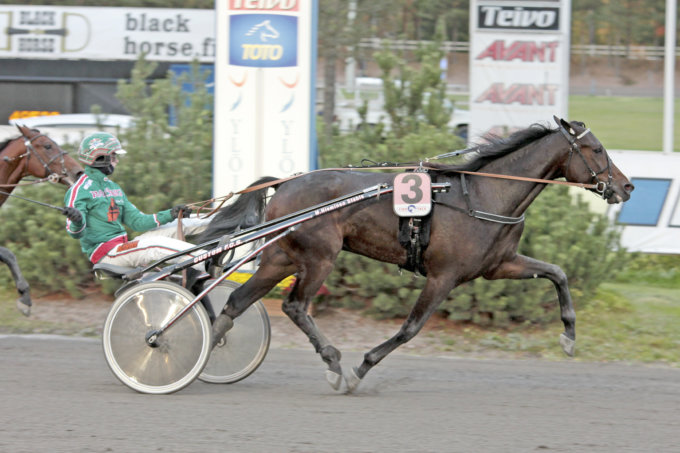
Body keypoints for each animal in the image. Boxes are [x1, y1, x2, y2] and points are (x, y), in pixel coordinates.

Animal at [201, 117, 632, 392]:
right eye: (596, 149)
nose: (626, 187)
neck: (485, 196)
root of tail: (285, 183)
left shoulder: (499, 265)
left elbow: (557, 272)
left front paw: (569, 336)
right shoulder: (444, 276)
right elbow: (410, 328)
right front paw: (359, 369)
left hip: (282, 257)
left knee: (238, 300)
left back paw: (203, 352)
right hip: (319, 256)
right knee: (295, 306)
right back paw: (334, 361)